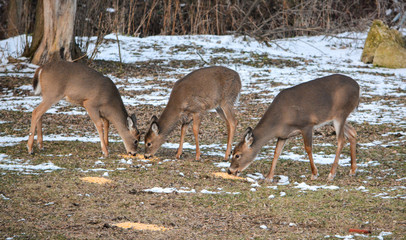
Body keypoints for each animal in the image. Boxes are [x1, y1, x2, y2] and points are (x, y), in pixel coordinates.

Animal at [228, 74, 358, 181]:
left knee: (341, 140)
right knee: (352, 133)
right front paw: (269, 177)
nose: (229, 171)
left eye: (237, 155)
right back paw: (352, 170)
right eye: (232, 152)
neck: (281, 119)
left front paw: (314, 173)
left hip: (340, 114)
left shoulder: (306, 125)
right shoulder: (283, 135)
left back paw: (331, 174)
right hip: (333, 119)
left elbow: (308, 148)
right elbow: (277, 152)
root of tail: (358, 87)